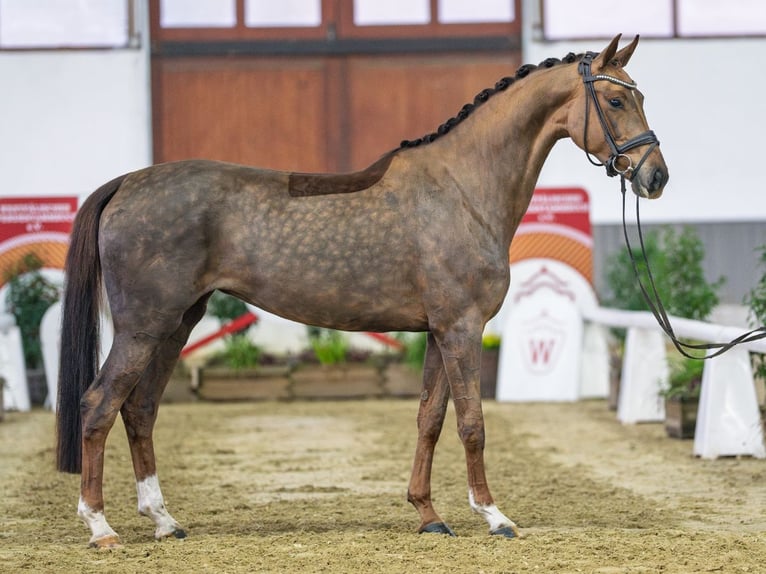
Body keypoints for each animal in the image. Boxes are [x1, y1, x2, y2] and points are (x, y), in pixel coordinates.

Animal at [55, 35, 668, 548]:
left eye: (640, 97)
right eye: (615, 101)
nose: (655, 177)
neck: (463, 188)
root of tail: (126, 183)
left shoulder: (438, 331)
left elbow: (430, 420)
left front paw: (428, 515)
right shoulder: (463, 328)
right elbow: (471, 422)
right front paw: (494, 516)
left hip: (178, 322)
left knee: (140, 409)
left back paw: (164, 521)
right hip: (144, 326)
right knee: (99, 404)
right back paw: (100, 527)